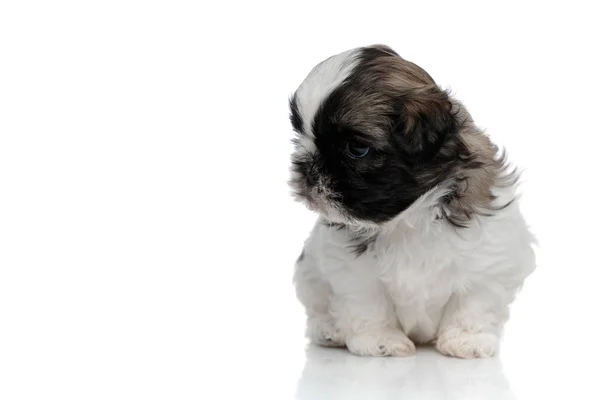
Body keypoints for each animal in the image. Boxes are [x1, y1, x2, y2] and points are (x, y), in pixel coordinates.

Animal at [290, 44, 536, 360]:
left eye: (357, 148)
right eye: (301, 137)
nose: (307, 170)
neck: (411, 217)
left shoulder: (490, 259)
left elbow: (473, 303)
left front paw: (467, 340)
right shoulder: (352, 269)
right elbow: (369, 303)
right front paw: (381, 341)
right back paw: (329, 330)